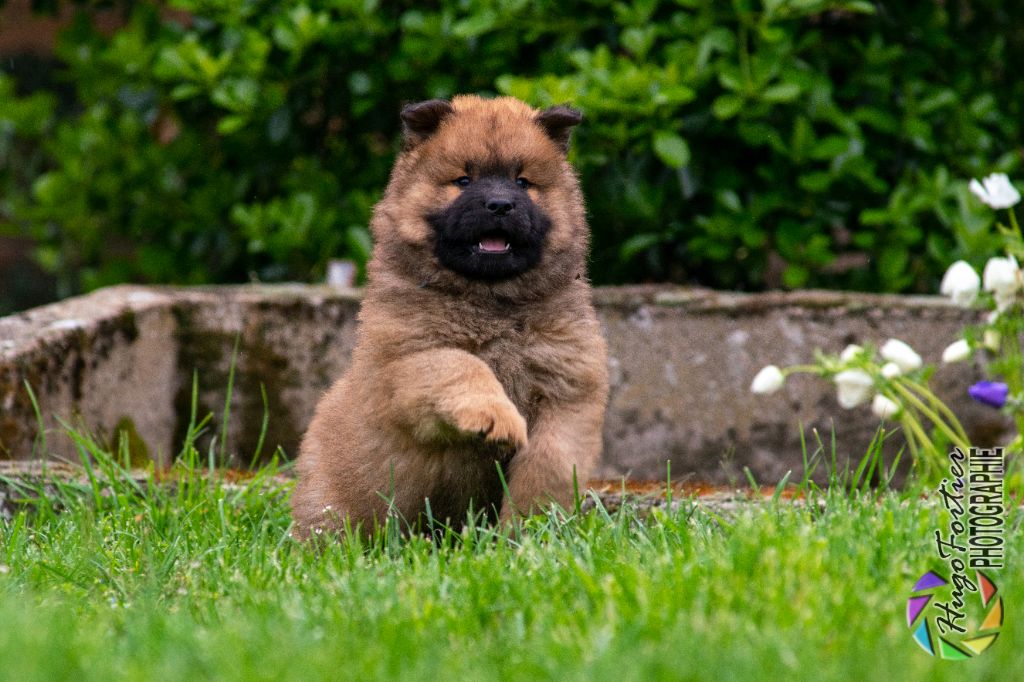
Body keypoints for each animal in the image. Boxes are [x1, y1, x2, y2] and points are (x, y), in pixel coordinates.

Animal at [290, 94, 606, 536]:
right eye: (464, 181)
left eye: (522, 182)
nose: (500, 204)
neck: (491, 301)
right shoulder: (407, 359)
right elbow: (462, 366)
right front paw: (495, 419)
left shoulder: (569, 391)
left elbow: (548, 465)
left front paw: (525, 534)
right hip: (331, 503)